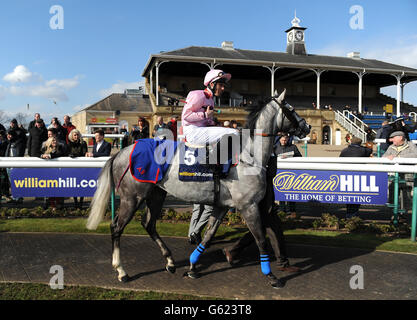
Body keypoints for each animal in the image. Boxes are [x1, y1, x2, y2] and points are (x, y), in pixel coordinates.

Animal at [86, 89, 310, 288]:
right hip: (132, 197)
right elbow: (261, 240)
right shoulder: (249, 206)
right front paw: (271, 276)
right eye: (291, 108)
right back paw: (121, 271)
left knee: (149, 224)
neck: (249, 156)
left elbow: (209, 236)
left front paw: (193, 267)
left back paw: (170, 262)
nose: (306, 126)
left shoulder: (222, 205)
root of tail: (120, 152)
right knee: (117, 227)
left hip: (156, 194)